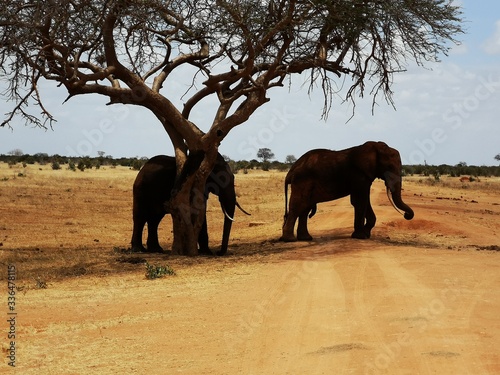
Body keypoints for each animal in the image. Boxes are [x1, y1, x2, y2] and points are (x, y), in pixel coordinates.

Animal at [282, 142, 414, 242]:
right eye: (389, 167)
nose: (406, 215)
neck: (375, 147)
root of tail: (291, 170)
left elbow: (363, 201)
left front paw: (366, 234)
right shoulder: (359, 175)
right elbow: (360, 201)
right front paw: (361, 236)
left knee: (305, 208)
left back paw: (305, 238)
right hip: (302, 181)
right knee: (298, 205)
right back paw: (289, 239)